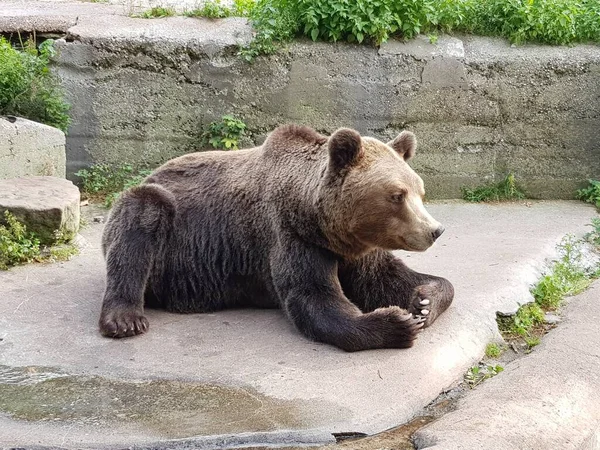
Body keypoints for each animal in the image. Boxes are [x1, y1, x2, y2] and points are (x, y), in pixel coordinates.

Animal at [99, 124, 454, 352]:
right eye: (397, 195)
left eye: (421, 192)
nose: (434, 230)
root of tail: (153, 171)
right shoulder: (290, 237)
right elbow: (314, 299)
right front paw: (397, 323)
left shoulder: (354, 249)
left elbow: (387, 278)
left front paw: (423, 303)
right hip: (167, 240)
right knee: (140, 219)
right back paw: (124, 319)